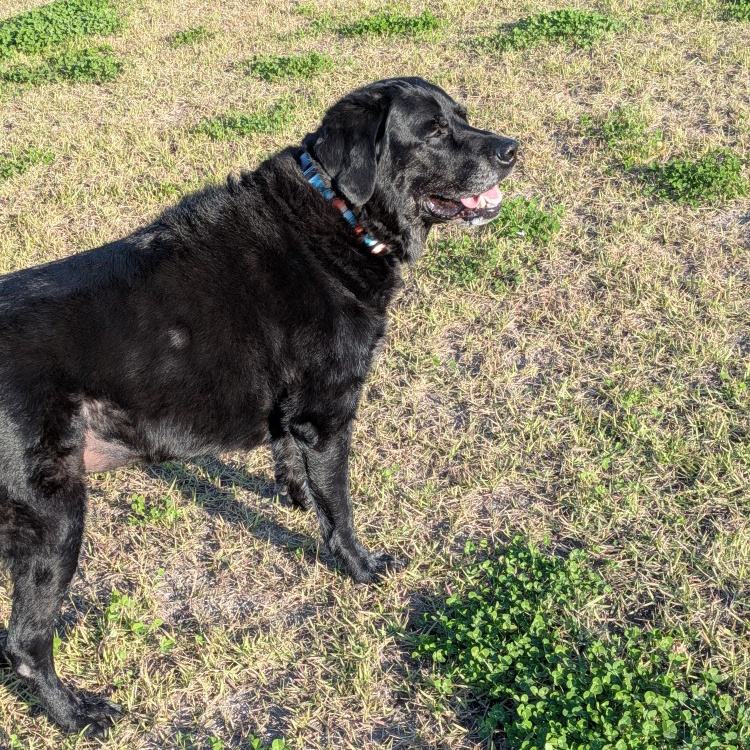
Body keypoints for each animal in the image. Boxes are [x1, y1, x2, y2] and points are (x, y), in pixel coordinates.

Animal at [0, 77, 517, 736]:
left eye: (464, 117)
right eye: (432, 131)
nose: (512, 149)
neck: (338, 213)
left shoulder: (295, 415)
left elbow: (291, 461)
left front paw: (295, 498)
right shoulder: (328, 416)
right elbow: (340, 508)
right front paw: (360, 566)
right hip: (55, 518)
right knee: (25, 644)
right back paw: (77, 714)